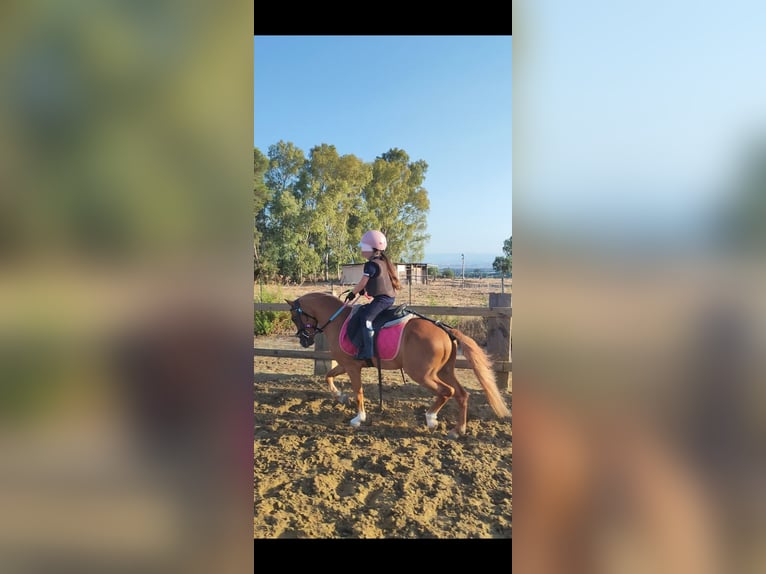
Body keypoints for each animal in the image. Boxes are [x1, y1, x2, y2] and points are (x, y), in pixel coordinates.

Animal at [286, 292, 510, 437]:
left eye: (294, 317)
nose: (304, 341)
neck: (339, 320)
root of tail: (445, 330)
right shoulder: (345, 364)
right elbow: (328, 376)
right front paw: (340, 396)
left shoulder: (352, 367)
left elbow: (358, 391)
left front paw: (359, 418)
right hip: (444, 371)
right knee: (462, 394)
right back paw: (458, 430)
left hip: (423, 374)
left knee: (447, 392)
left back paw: (431, 418)